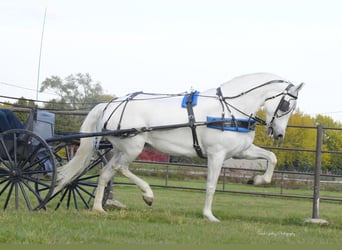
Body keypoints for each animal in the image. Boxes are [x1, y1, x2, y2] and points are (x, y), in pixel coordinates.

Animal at [53, 73, 304, 223]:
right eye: (286, 104)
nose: (278, 134)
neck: (230, 109)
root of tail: (111, 103)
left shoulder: (241, 151)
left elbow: (271, 157)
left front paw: (257, 180)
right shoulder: (217, 154)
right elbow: (211, 185)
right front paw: (209, 215)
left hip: (122, 148)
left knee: (106, 173)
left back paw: (98, 208)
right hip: (133, 147)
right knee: (121, 169)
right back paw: (148, 195)